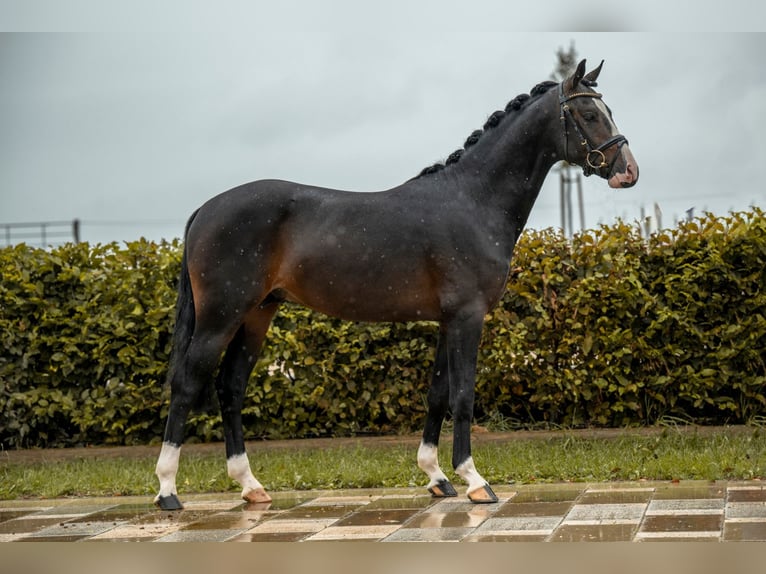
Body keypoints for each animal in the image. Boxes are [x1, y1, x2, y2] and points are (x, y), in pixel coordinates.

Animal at [154, 58, 636, 510]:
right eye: (589, 114)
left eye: (608, 110)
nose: (628, 171)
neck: (473, 200)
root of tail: (206, 209)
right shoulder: (468, 317)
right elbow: (463, 395)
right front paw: (475, 481)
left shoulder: (448, 320)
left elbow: (437, 394)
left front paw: (437, 477)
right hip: (221, 315)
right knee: (188, 384)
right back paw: (167, 490)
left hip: (258, 313)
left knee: (231, 386)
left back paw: (250, 486)